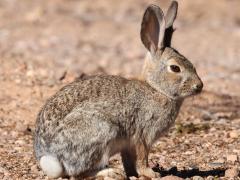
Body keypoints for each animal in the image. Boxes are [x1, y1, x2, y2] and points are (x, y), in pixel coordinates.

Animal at [33, 1, 202, 179]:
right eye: (175, 68)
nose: (199, 86)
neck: (156, 89)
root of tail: (51, 156)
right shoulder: (144, 134)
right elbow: (143, 157)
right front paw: (151, 173)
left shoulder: (127, 144)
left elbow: (128, 159)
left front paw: (133, 174)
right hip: (102, 130)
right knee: (79, 173)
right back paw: (111, 172)